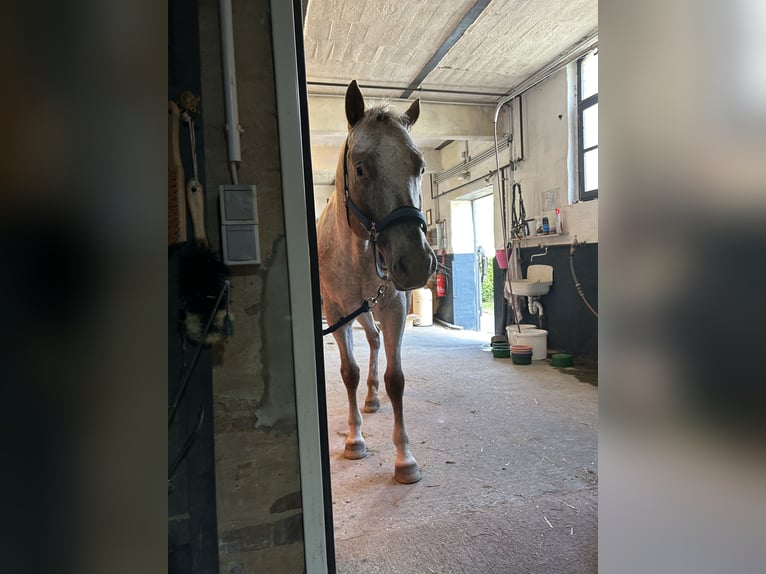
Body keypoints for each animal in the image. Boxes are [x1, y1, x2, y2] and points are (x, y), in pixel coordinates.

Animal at [317, 81, 437, 484]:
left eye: (420, 167)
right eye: (360, 169)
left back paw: (371, 397)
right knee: (369, 341)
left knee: (373, 340)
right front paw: (354, 440)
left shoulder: (392, 305)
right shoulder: (335, 311)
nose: (415, 263)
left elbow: (395, 378)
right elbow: (348, 372)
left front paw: (405, 459)